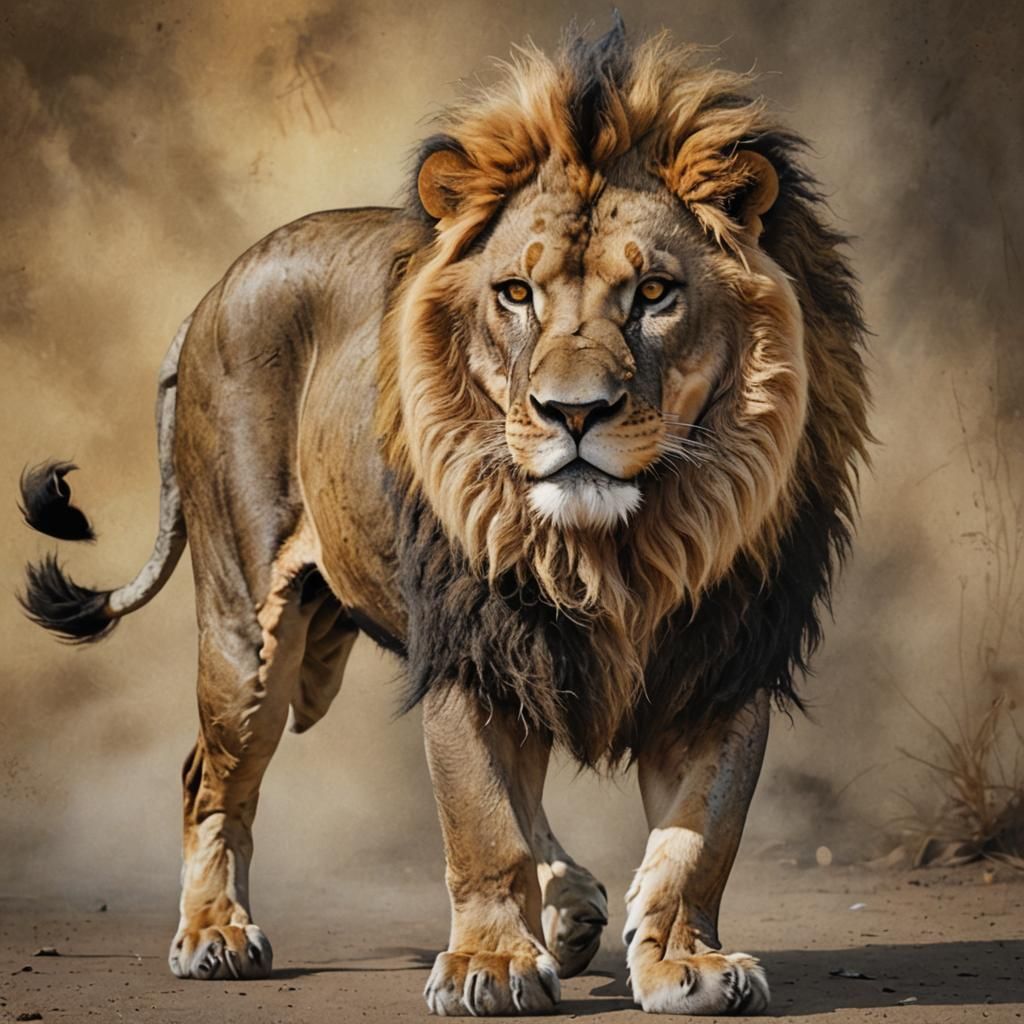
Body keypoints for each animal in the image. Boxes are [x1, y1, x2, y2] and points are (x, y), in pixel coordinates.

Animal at [18, 19, 869, 1017]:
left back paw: (574, 905)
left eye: (654, 294)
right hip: (244, 625)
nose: (572, 412)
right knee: (209, 776)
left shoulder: (726, 655)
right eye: (516, 295)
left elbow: (700, 838)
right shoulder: (471, 640)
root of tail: (216, 288)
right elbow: (481, 818)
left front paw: (683, 961)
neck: (613, 546)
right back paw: (213, 934)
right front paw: (491, 967)